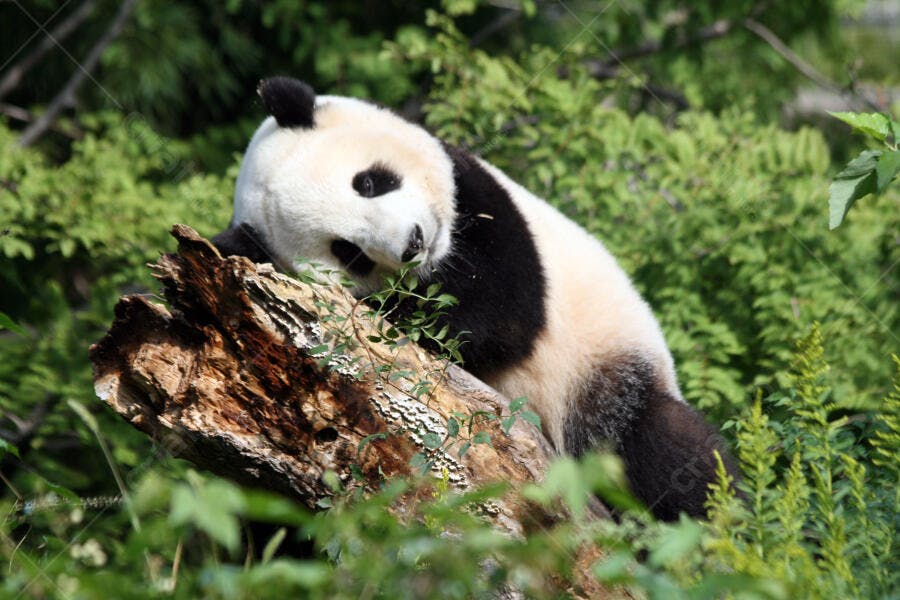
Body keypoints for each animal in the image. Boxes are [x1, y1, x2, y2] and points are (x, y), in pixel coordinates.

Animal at [213, 76, 737, 521]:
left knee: (665, 456)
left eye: (369, 182)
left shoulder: (482, 196)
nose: (413, 243)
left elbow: (503, 312)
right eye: (348, 252)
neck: (445, 256)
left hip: (607, 363)